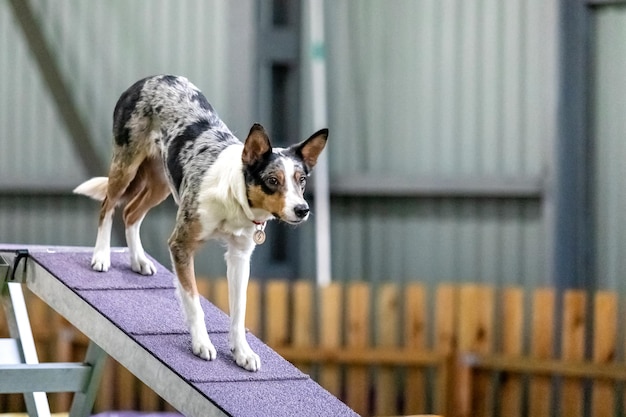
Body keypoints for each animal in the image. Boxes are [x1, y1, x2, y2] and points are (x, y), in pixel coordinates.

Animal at [74, 75, 326, 370]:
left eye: (302, 180)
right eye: (273, 180)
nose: (302, 210)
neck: (234, 199)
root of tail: (149, 79)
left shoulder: (240, 256)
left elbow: (239, 311)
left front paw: (242, 352)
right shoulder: (181, 245)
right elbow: (194, 301)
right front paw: (201, 344)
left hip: (160, 181)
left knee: (131, 213)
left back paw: (139, 260)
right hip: (126, 166)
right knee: (108, 206)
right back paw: (101, 256)